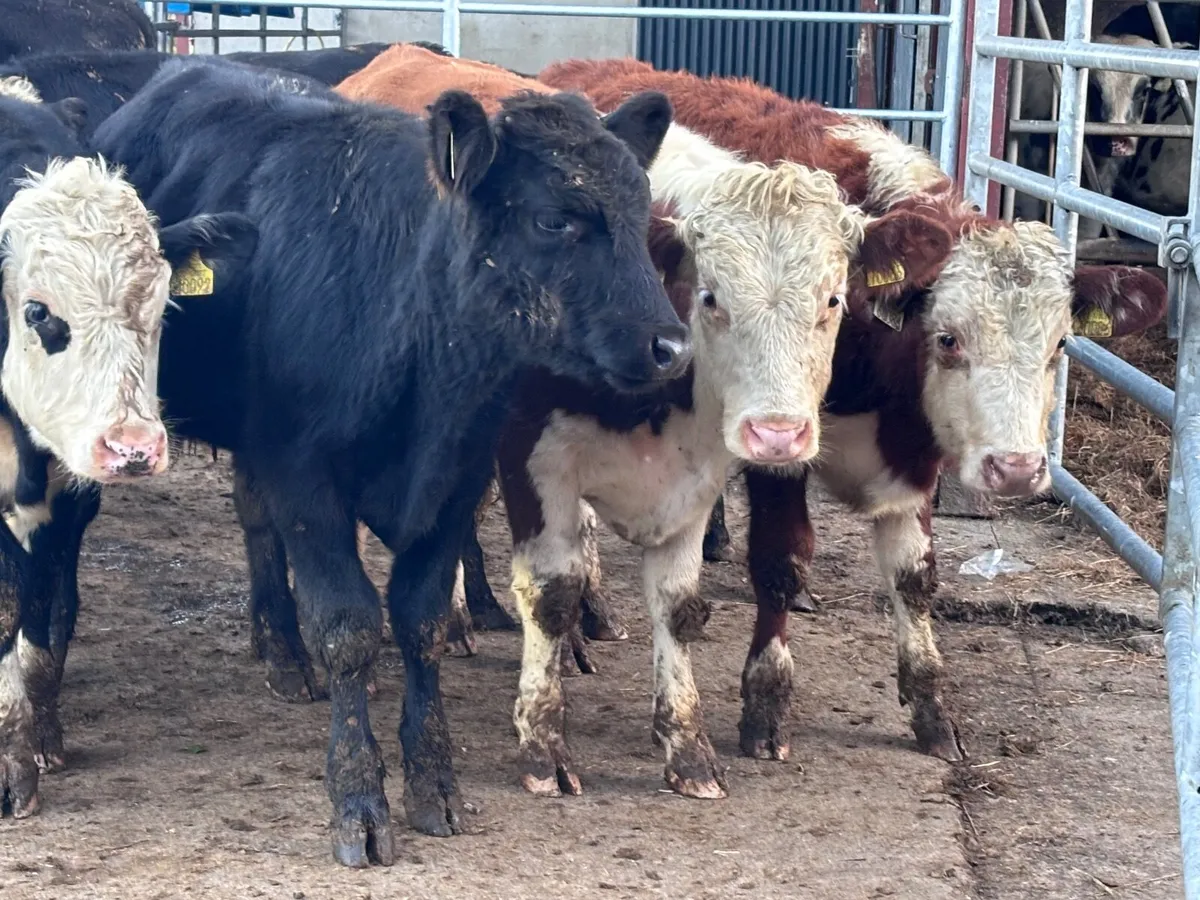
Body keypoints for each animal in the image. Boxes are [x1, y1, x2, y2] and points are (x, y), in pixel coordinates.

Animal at [0, 76, 254, 818]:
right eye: (38, 311)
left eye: (163, 306)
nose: (133, 446)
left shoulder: (64, 504)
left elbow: (41, 622)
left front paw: (32, 750)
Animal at [91, 54, 689, 866]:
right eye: (554, 219)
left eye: (638, 214)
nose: (671, 345)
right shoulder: (303, 475)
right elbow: (347, 625)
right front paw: (358, 799)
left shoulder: (455, 479)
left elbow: (420, 620)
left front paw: (434, 783)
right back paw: (286, 653)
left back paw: (277, 647)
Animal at [530, 58, 1168, 765]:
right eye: (948, 339)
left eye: (1060, 345)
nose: (1016, 469)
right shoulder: (779, 447)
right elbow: (780, 561)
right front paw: (766, 706)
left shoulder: (914, 456)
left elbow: (915, 578)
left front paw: (932, 710)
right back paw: (592, 611)